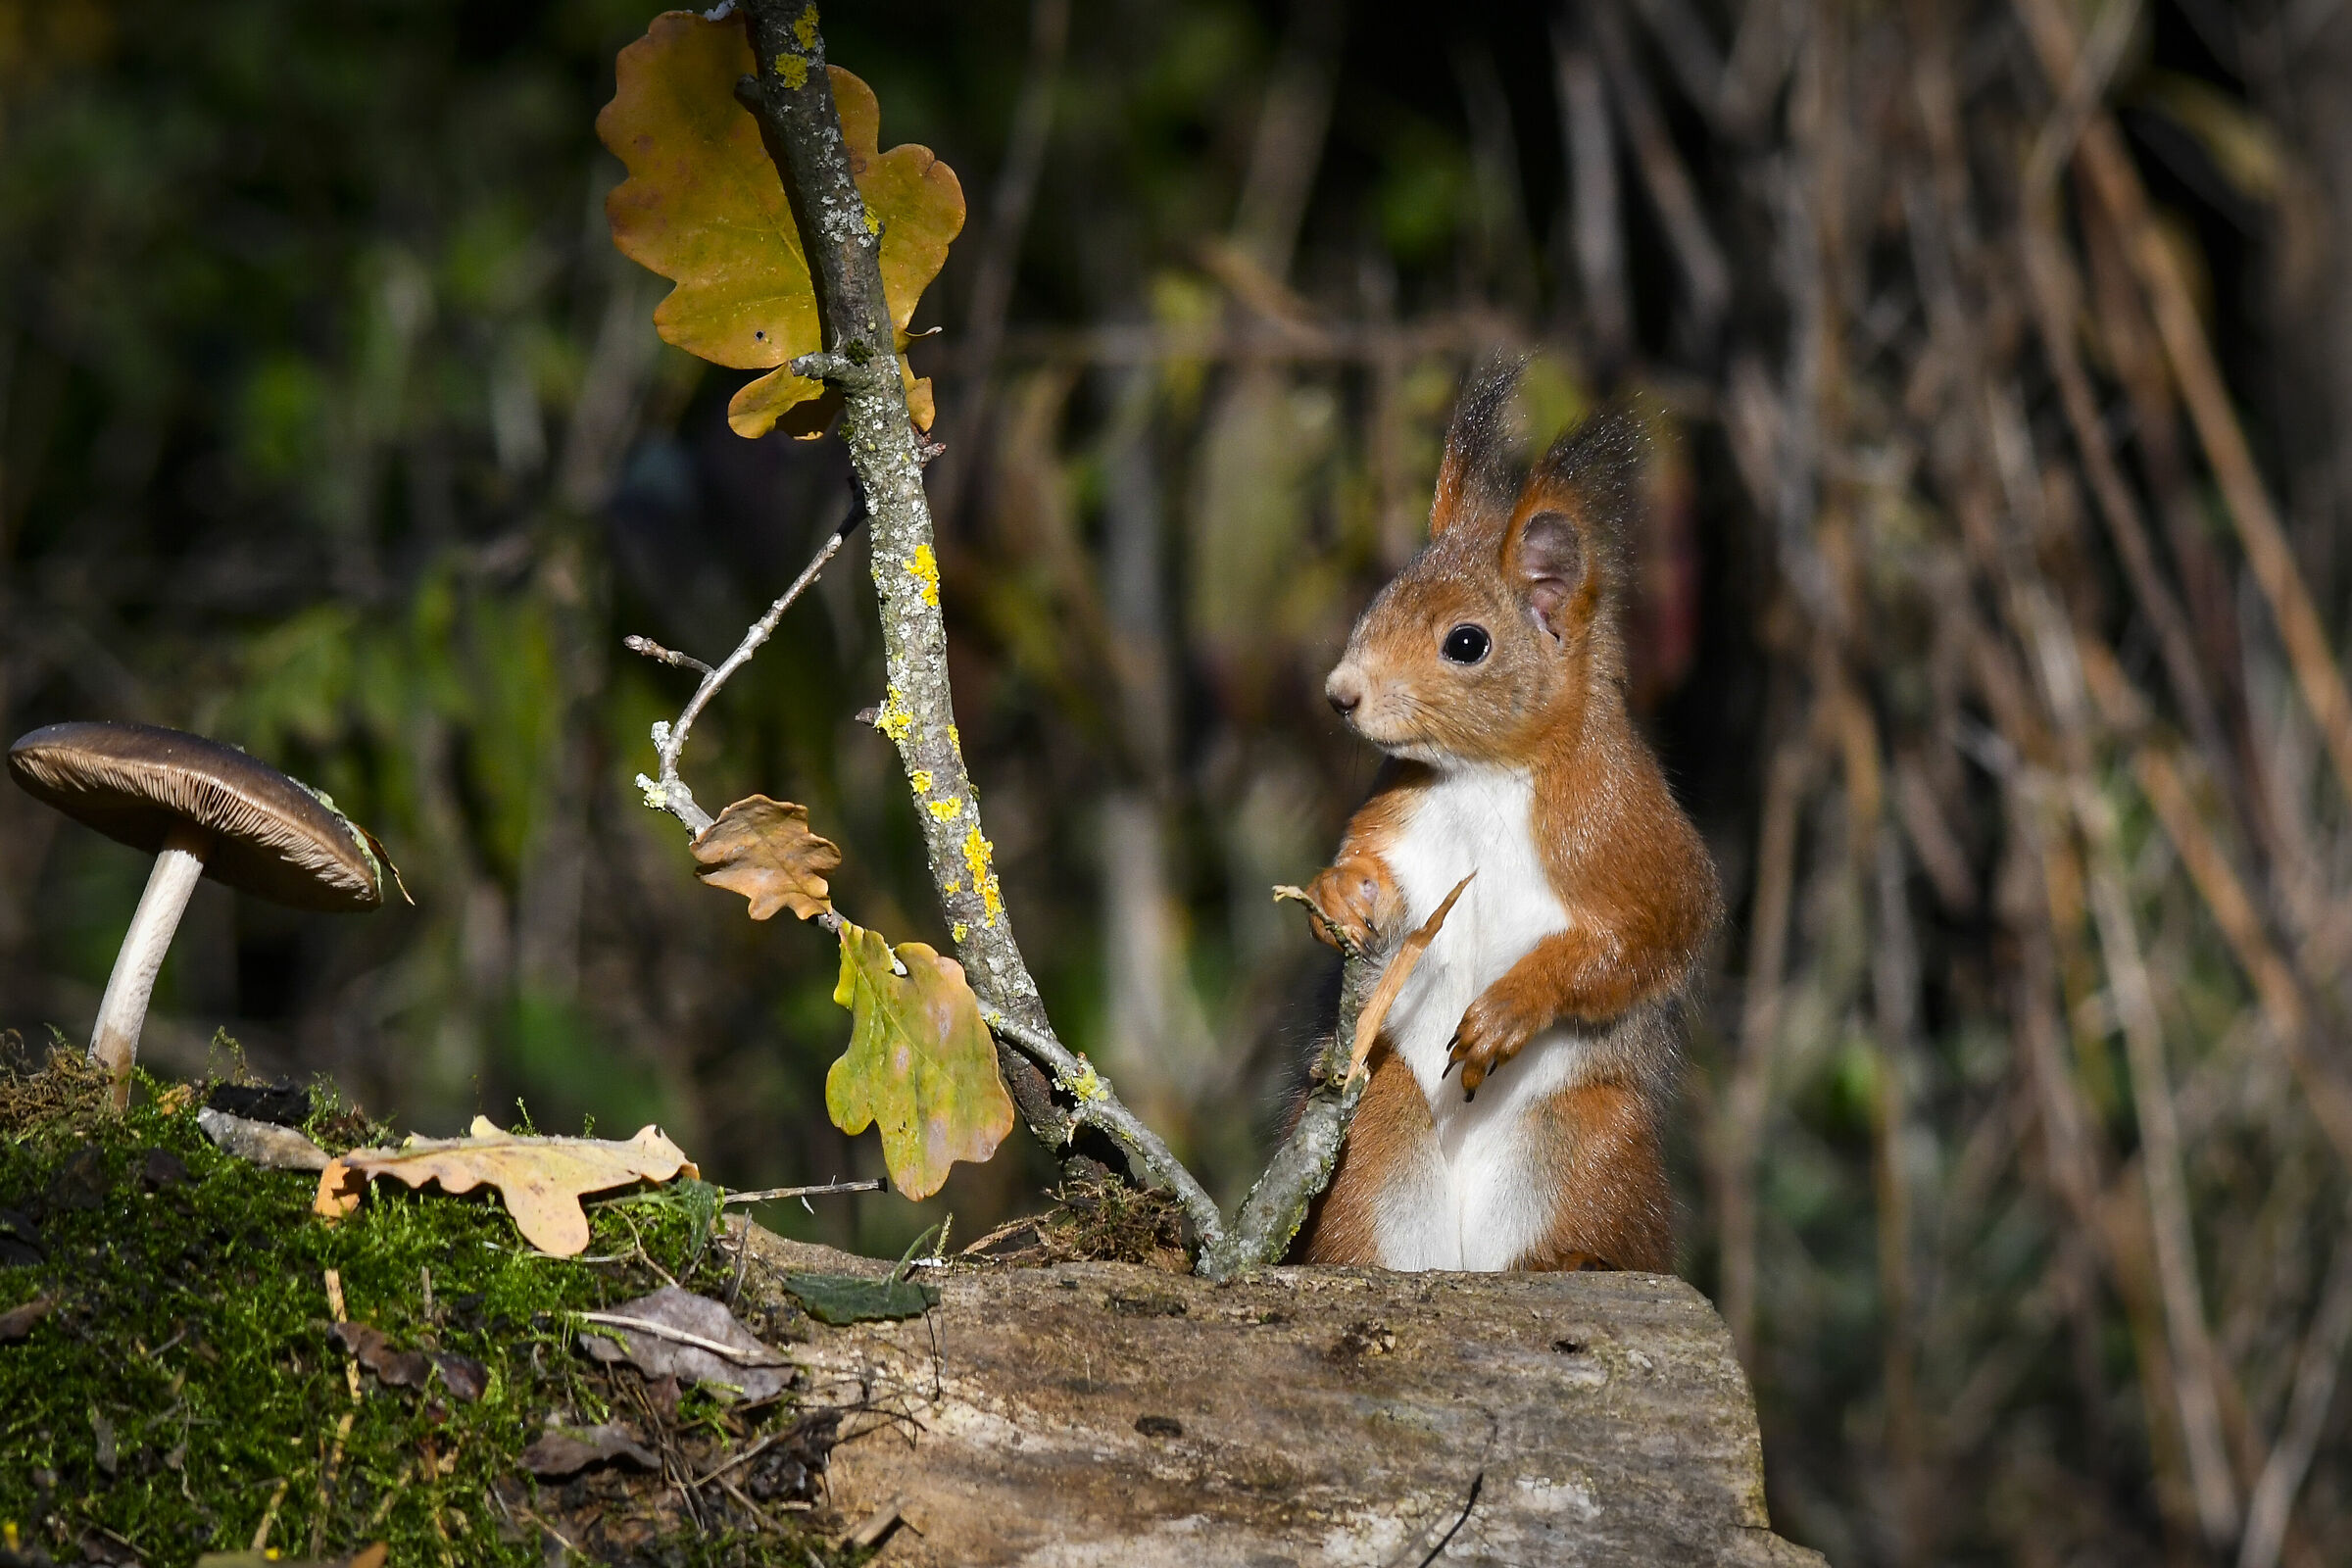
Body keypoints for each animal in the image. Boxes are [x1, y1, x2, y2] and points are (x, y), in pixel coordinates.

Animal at [1294, 375, 1720, 1274]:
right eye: (1378, 600)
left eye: (1467, 643)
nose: (1340, 693)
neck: (1485, 777)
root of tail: (1465, 1258)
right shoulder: (1405, 815)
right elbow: (1373, 864)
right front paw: (1338, 891)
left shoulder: (1625, 828)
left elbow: (1651, 932)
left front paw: (1509, 1010)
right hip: (1375, 1125)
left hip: (1593, 1143)